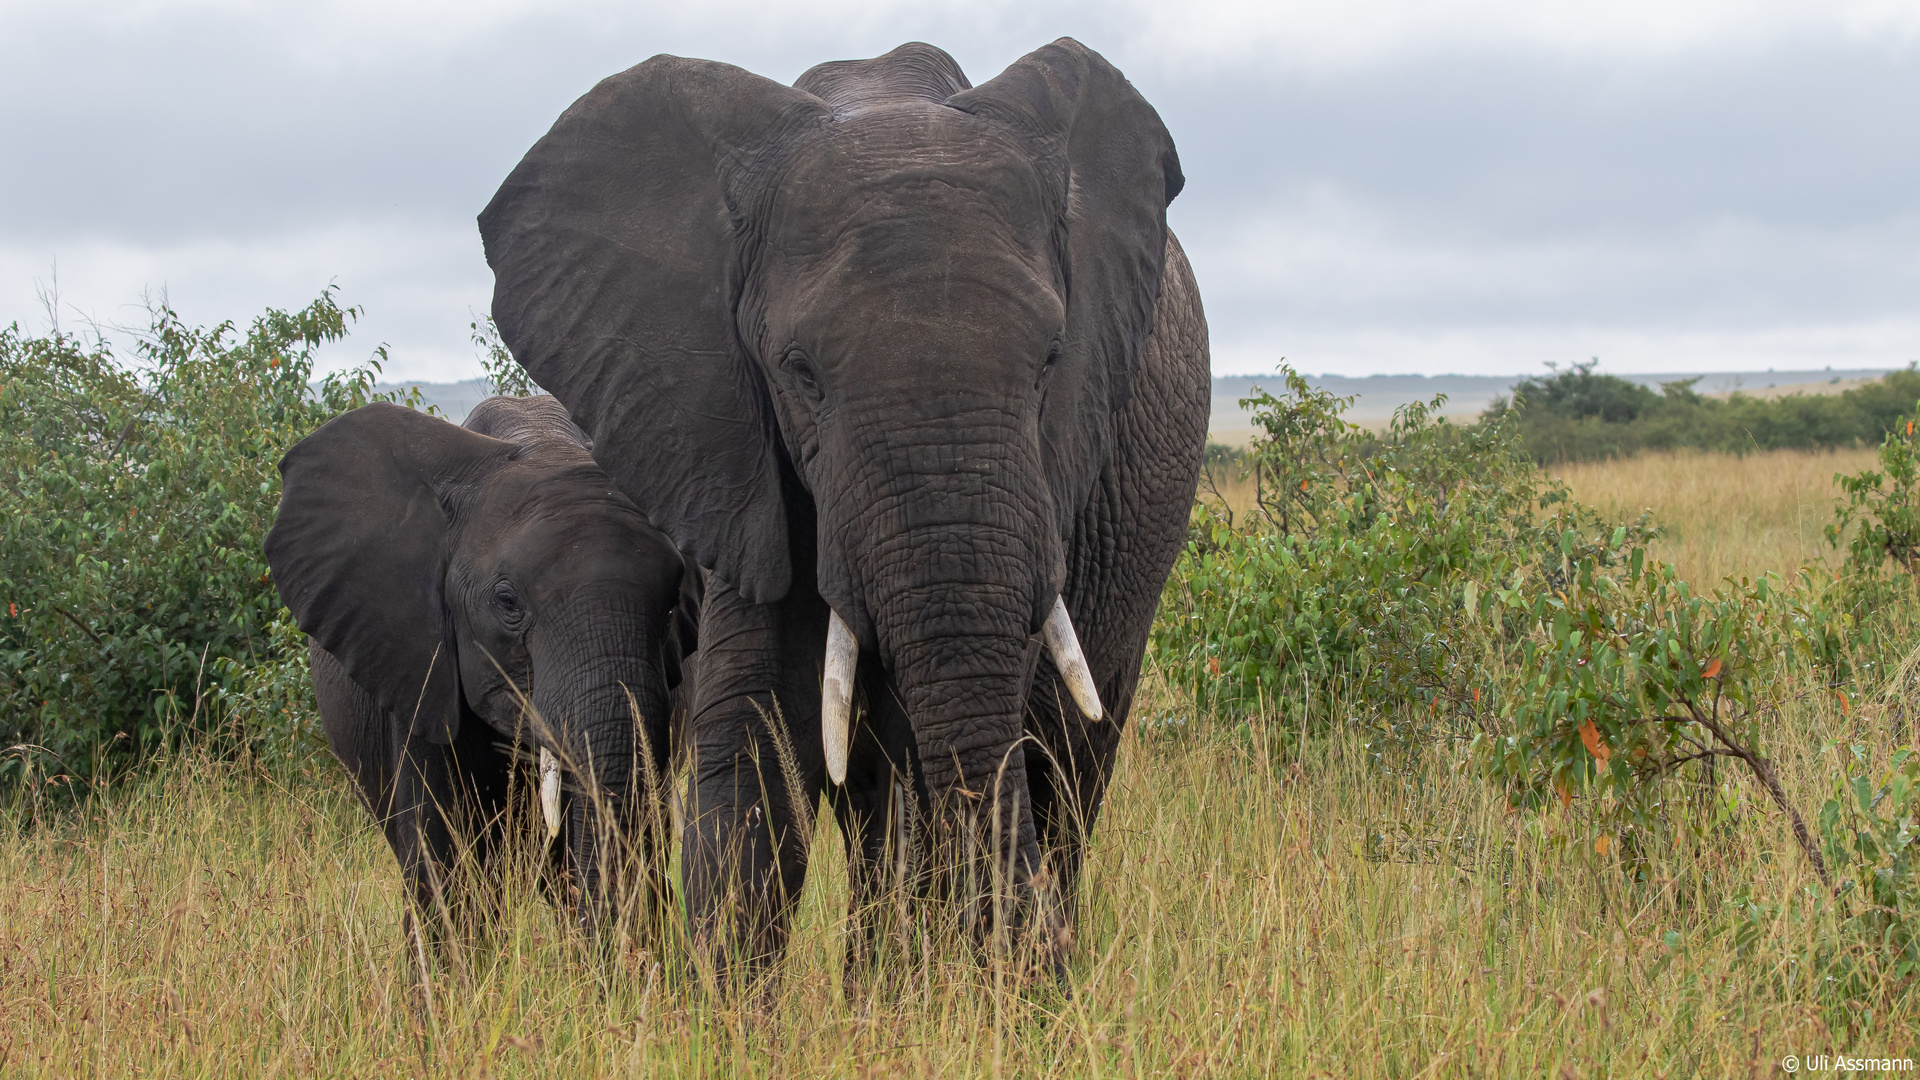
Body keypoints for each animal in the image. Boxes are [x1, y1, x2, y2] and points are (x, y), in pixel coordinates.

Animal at [476, 37, 1198, 972]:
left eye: (1051, 359)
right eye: (800, 373)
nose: (1035, 964)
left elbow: (942, 750)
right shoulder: (733, 446)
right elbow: (752, 740)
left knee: (1067, 764)